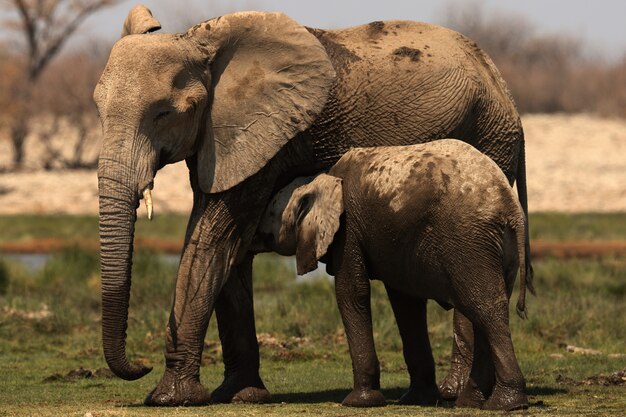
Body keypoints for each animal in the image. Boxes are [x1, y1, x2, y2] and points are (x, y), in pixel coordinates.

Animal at [251, 140, 528, 410]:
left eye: (270, 212)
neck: (322, 178)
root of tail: (511, 208)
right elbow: (406, 303)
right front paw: (416, 400)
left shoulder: (348, 229)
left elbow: (351, 292)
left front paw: (358, 403)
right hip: (497, 246)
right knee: (482, 310)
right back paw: (473, 402)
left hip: (467, 239)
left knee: (483, 307)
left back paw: (505, 404)